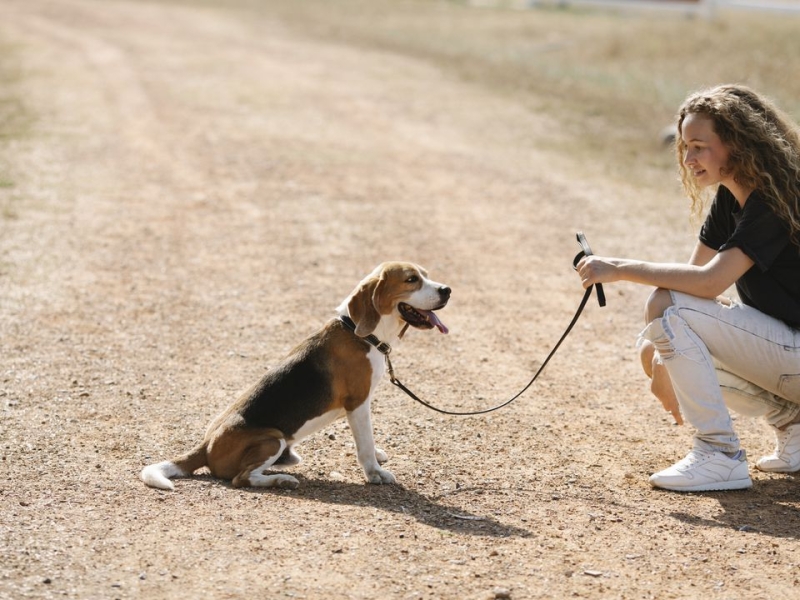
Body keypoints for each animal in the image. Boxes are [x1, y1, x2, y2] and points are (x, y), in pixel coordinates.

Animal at [139, 262, 450, 492]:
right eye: (411, 280)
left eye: (426, 275)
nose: (447, 289)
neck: (360, 333)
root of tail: (204, 447)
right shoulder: (358, 403)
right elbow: (365, 444)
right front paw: (375, 472)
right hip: (272, 440)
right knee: (242, 478)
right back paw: (281, 481)